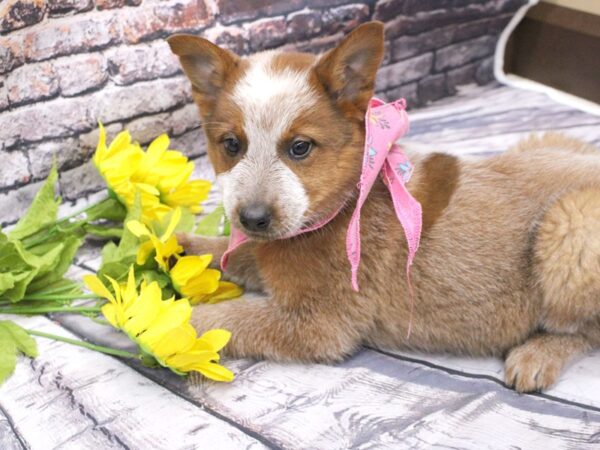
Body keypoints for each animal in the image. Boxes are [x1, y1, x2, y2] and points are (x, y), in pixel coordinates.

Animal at [166, 22, 600, 394]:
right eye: (231, 144)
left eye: (300, 147)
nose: (252, 219)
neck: (341, 207)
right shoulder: (266, 255)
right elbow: (232, 254)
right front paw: (178, 247)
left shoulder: (320, 324)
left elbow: (226, 319)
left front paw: (170, 327)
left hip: (570, 225)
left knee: (586, 329)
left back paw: (537, 355)